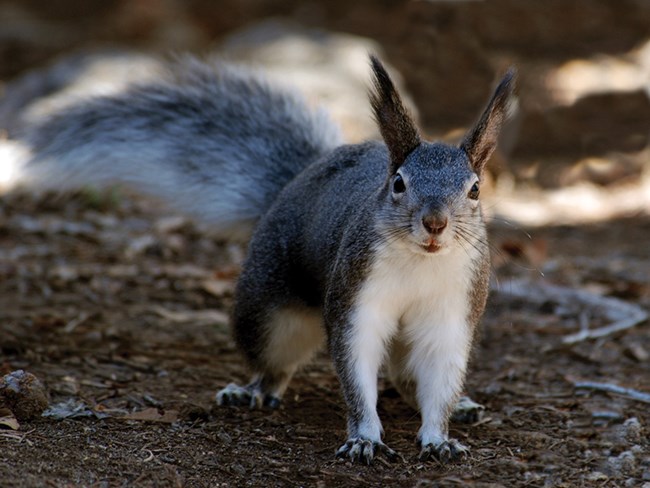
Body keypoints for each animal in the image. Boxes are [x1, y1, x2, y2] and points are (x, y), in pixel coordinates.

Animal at [2, 53, 512, 466]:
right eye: (399, 184)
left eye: (475, 190)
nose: (435, 223)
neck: (420, 262)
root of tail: (296, 183)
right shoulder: (356, 300)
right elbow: (356, 368)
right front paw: (364, 438)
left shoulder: (452, 311)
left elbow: (440, 377)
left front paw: (439, 436)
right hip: (269, 313)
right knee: (274, 362)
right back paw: (252, 391)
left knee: (408, 376)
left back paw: (459, 405)